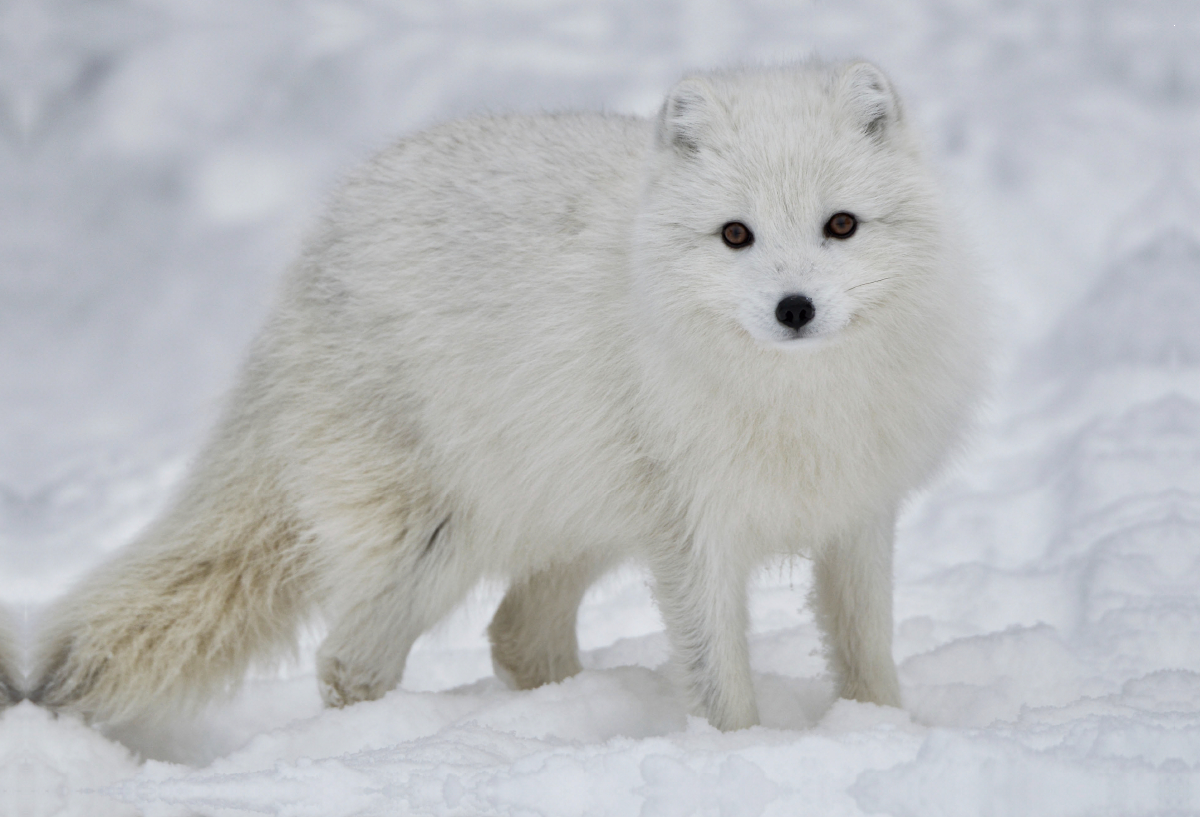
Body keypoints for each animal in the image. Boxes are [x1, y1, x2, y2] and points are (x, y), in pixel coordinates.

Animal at [30, 60, 984, 729]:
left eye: (841, 225)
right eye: (736, 235)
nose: (794, 308)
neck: (797, 404)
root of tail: (317, 247)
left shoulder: (855, 514)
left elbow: (866, 652)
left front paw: (882, 730)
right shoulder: (696, 534)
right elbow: (721, 685)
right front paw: (741, 755)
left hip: (578, 515)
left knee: (517, 637)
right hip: (442, 537)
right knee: (350, 661)